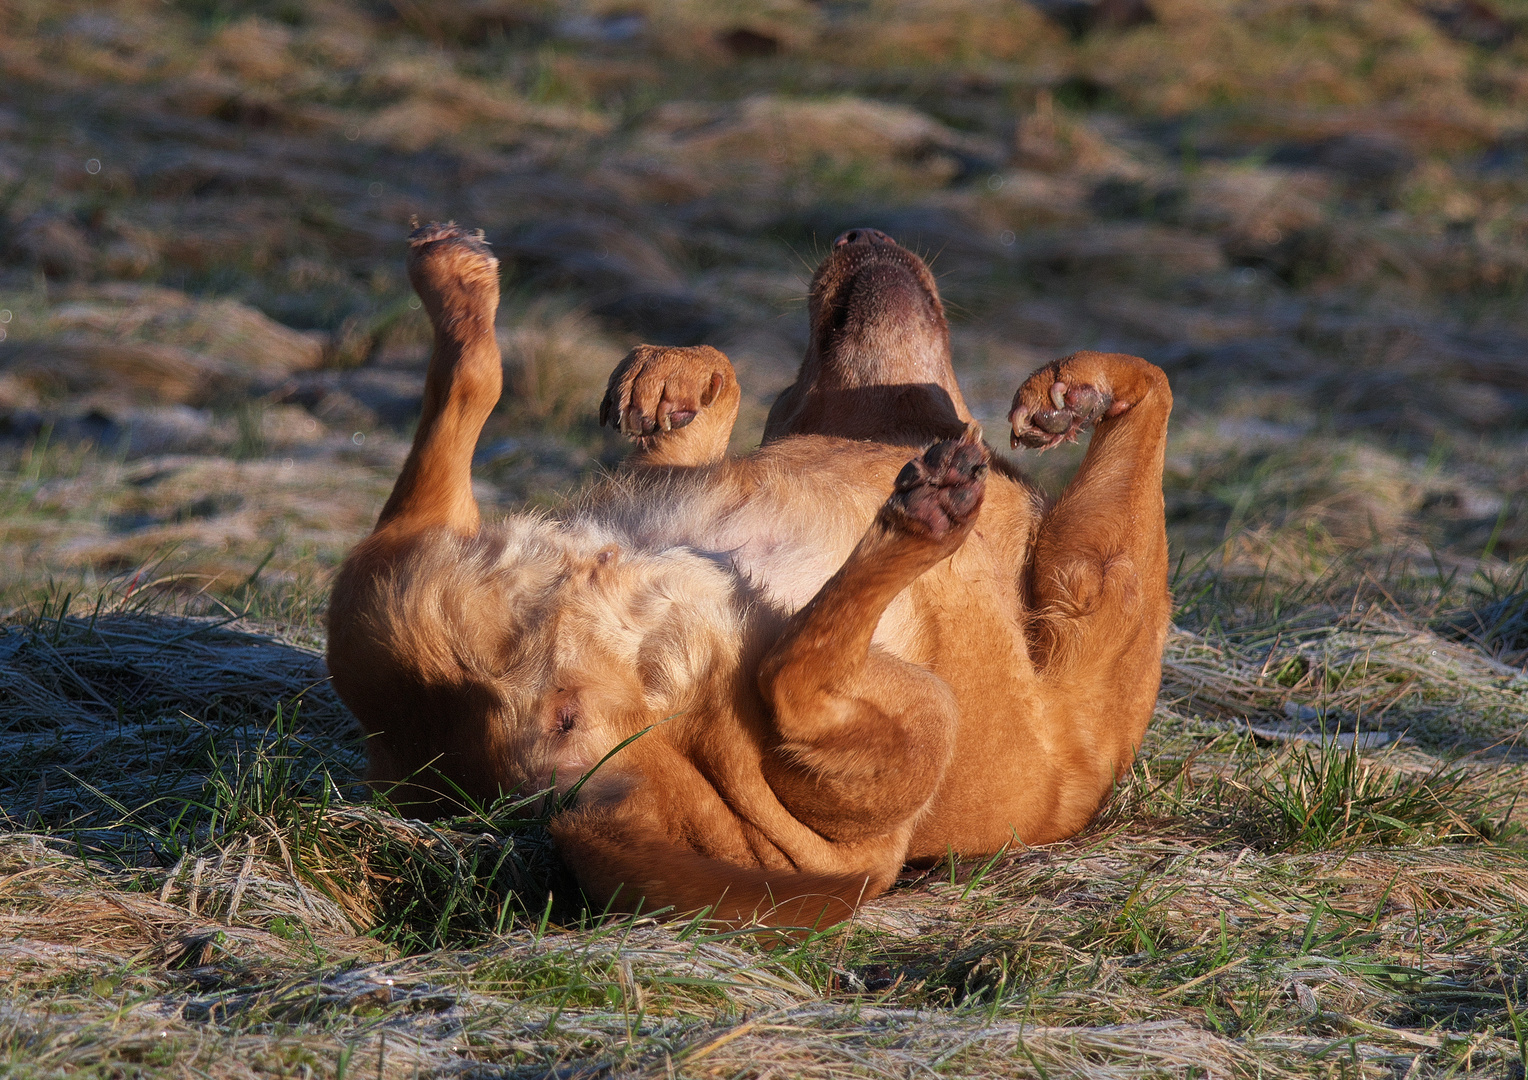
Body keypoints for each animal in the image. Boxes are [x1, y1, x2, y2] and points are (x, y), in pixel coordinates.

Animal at [331, 221, 1167, 928]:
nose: (859, 229)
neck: (880, 425)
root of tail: (578, 793)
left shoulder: (1096, 592)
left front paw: (1070, 390)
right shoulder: (1103, 575)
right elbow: (1152, 389)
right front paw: (671, 373)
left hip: (393, 586)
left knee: (467, 390)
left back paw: (455, 285)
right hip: (924, 707)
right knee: (789, 669)